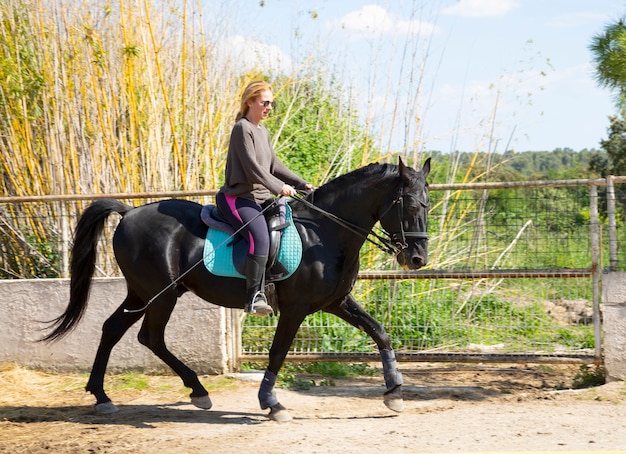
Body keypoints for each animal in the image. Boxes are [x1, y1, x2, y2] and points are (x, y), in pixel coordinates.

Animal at [42, 158, 428, 420]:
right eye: (410, 205)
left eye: (427, 203)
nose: (418, 258)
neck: (323, 232)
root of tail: (128, 212)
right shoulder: (295, 309)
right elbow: (278, 353)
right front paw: (271, 404)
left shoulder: (336, 302)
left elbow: (380, 333)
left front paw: (394, 391)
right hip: (161, 294)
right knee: (149, 337)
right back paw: (195, 391)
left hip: (142, 293)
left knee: (113, 329)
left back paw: (103, 396)